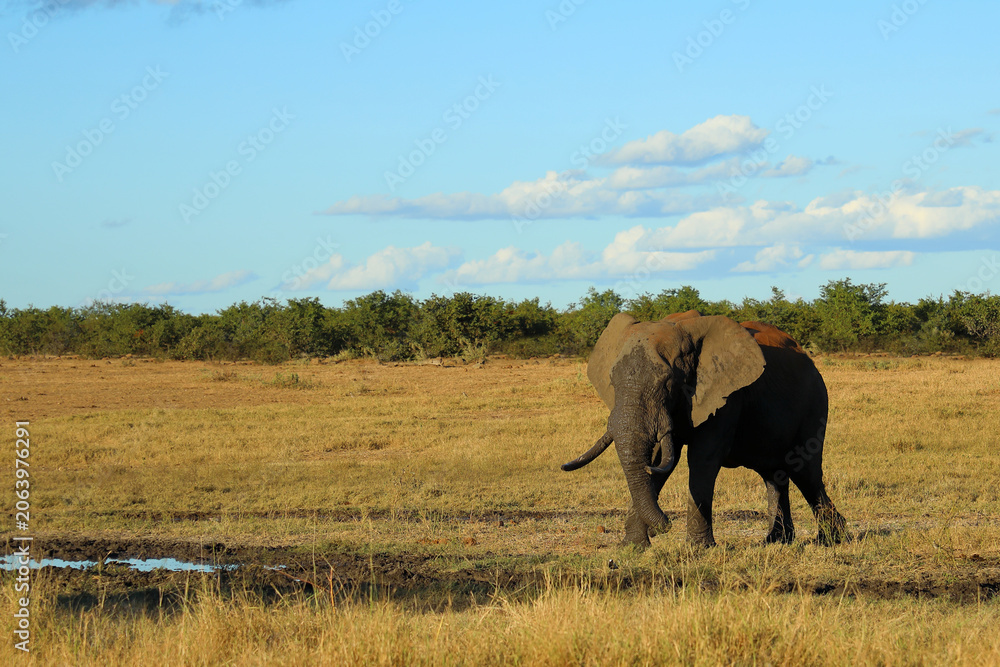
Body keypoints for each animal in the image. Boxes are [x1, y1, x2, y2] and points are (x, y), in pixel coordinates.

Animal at [562, 310, 847, 548]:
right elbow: (656, 458)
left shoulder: (726, 395)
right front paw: (632, 548)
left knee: (805, 472)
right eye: (612, 381)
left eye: (668, 383)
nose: (665, 526)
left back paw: (831, 540)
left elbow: (701, 458)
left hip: (814, 405)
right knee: (774, 475)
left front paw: (698, 550)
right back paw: (777, 541)